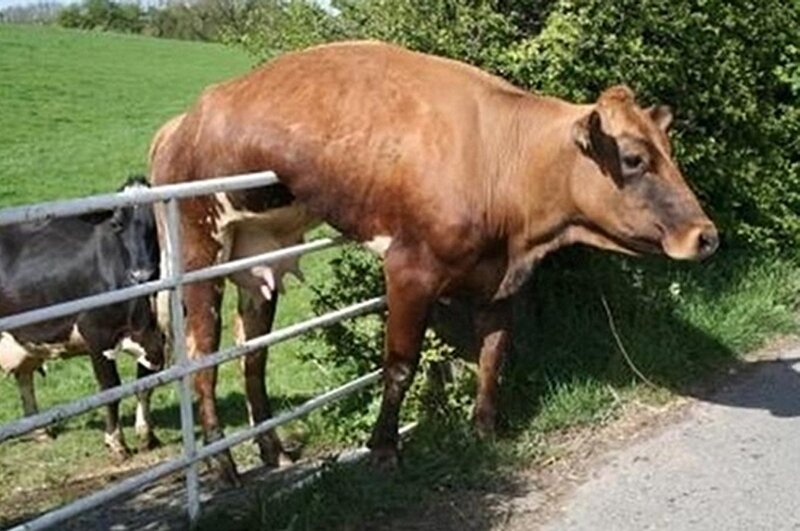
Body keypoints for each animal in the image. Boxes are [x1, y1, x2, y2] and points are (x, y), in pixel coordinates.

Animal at [0, 176, 166, 458]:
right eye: (116, 224)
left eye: (156, 222)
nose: (141, 274)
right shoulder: (96, 334)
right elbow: (111, 387)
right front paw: (116, 441)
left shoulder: (154, 338)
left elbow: (146, 382)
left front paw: (147, 435)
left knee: (24, 378)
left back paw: (40, 431)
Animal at [149, 41, 718, 484]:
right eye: (634, 159)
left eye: (669, 151)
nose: (706, 236)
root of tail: (182, 122)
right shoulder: (409, 270)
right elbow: (400, 365)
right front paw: (384, 449)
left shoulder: (499, 281)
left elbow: (493, 353)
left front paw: (485, 429)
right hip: (199, 251)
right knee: (201, 357)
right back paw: (223, 467)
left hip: (258, 256)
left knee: (253, 354)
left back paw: (274, 449)